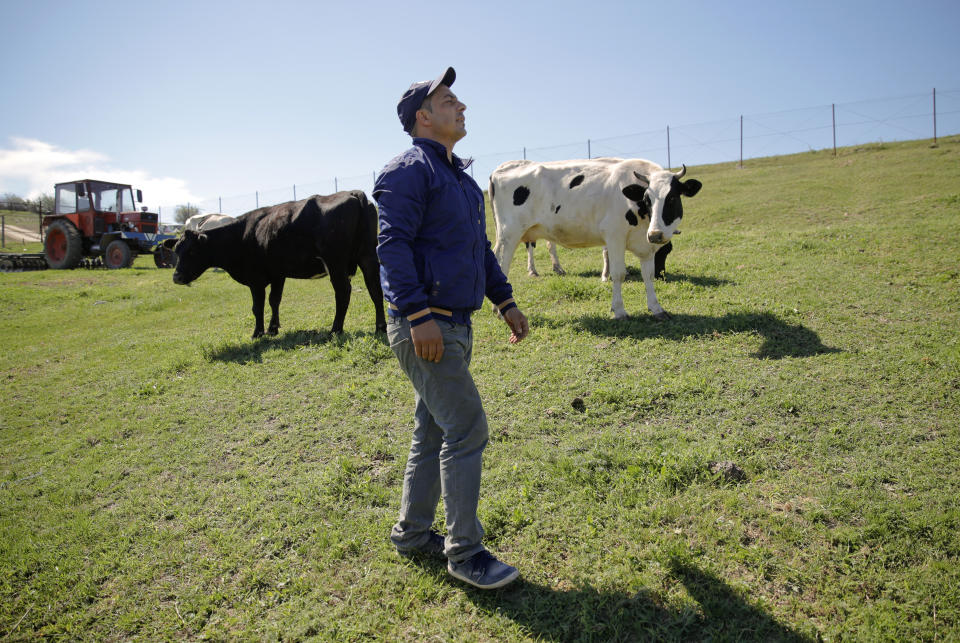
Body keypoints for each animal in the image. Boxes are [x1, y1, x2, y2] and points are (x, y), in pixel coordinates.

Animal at [165, 191, 386, 340]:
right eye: (176, 250)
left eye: (192, 252)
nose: (176, 277)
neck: (240, 235)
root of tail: (353, 193)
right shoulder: (278, 274)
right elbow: (275, 300)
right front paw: (273, 328)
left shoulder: (255, 279)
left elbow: (257, 306)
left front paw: (257, 333)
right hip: (368, 255)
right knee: (375, 289)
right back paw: (380, 326)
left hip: (335, 262)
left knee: (343, 292)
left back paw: (335, 329)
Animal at [492, 158, 700, 320]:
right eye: (647, 199)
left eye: (672, 198)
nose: (655, 234)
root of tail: (503, 167)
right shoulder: (614, 236)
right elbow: (618, 274)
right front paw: (619, 311)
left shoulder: (645, 245)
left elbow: (647, 275)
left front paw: (656, 308)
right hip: (509, 234)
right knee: (502, 264)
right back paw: (502, 311)